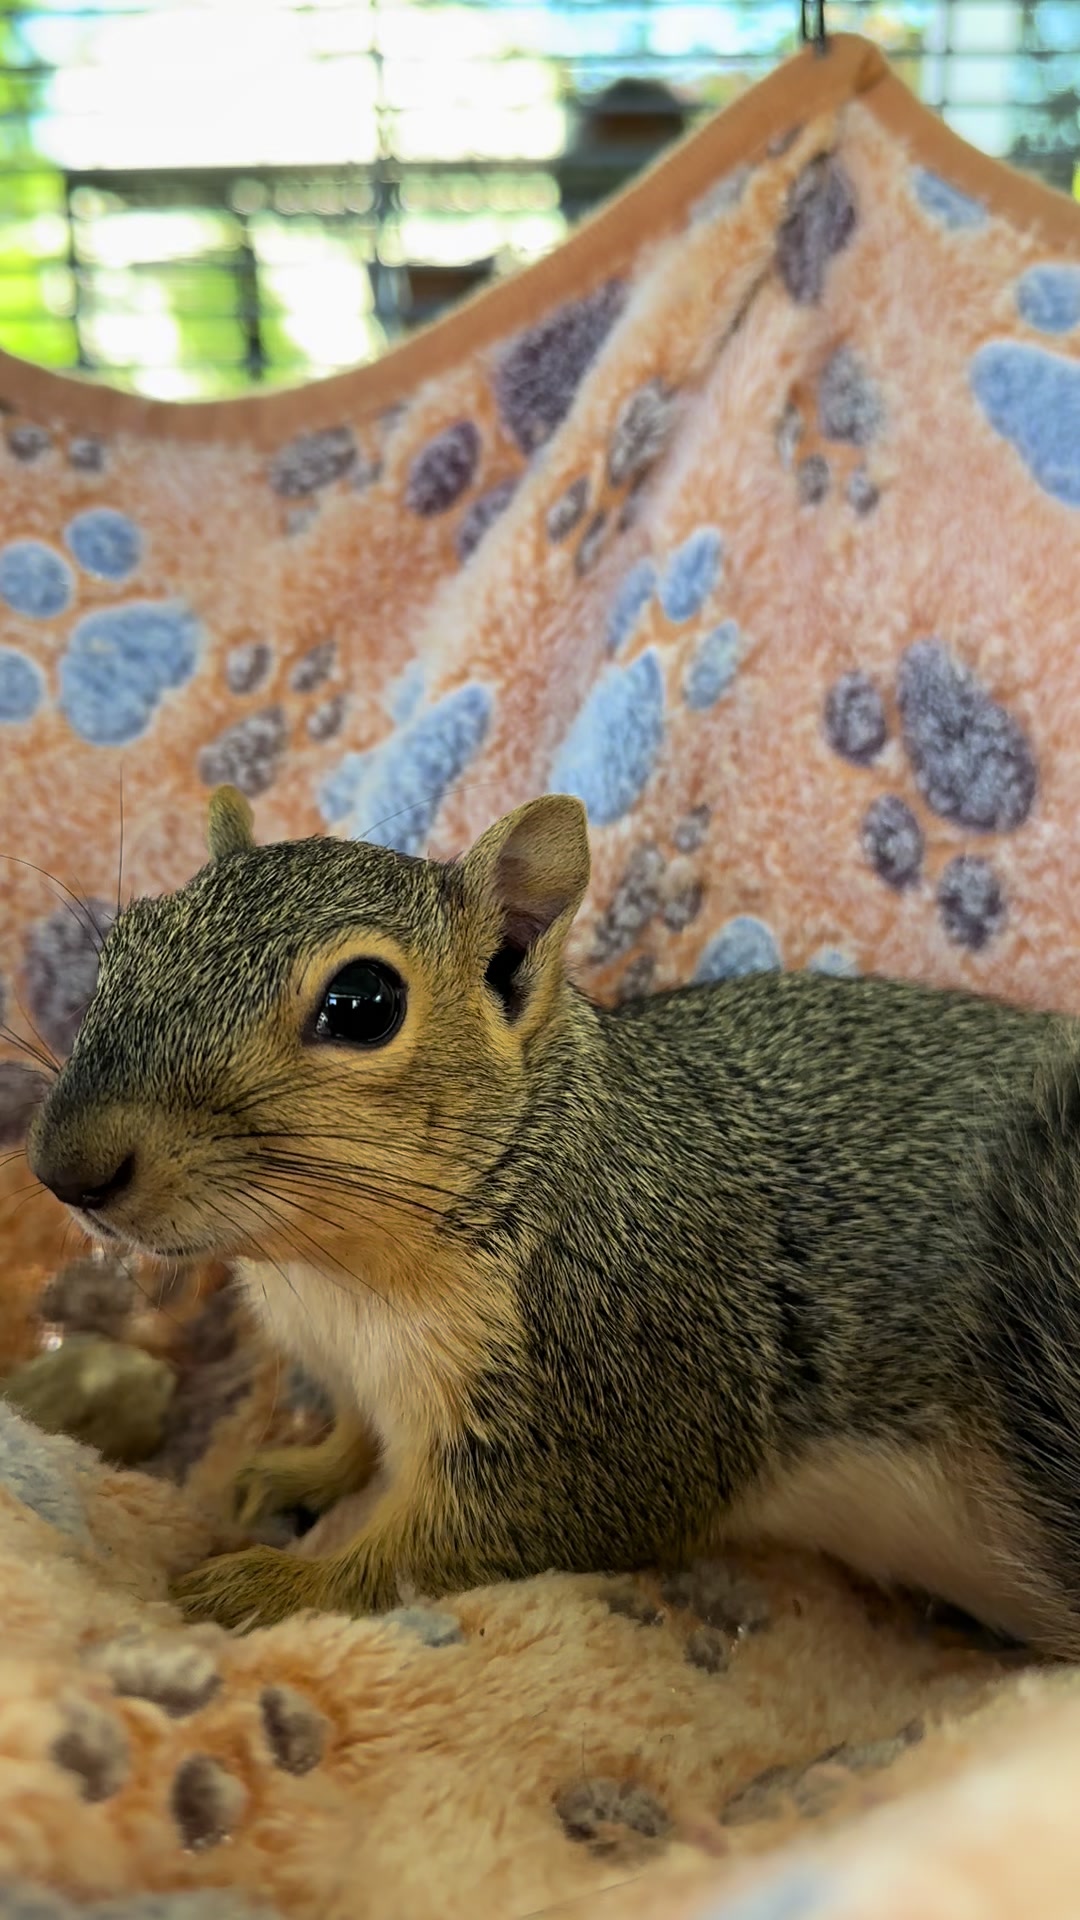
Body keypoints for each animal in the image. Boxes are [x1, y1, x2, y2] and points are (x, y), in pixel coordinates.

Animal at [23, 784, 1080, 1653]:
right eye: (127, 938)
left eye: (364, 1003)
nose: (66, 1167)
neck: (339, 1272)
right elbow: (359, 1439)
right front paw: (297, 1472)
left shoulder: (606, 1406)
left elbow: (439, 1553)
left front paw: (272, 1587)